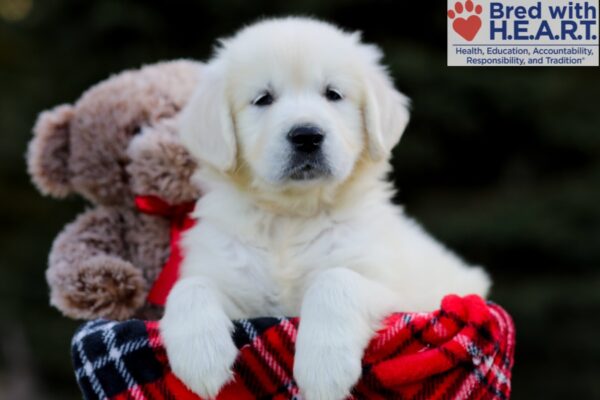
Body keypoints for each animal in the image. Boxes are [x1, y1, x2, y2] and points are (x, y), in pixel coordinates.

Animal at [162, 17, 490, 400]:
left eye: (333, 94)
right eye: (263, 99)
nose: (307, 135)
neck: (291, 216)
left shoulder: (400, 296)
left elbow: (335, 279)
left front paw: (323, 368)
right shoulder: (232, 279)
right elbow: (190, 287)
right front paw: (201, 357)